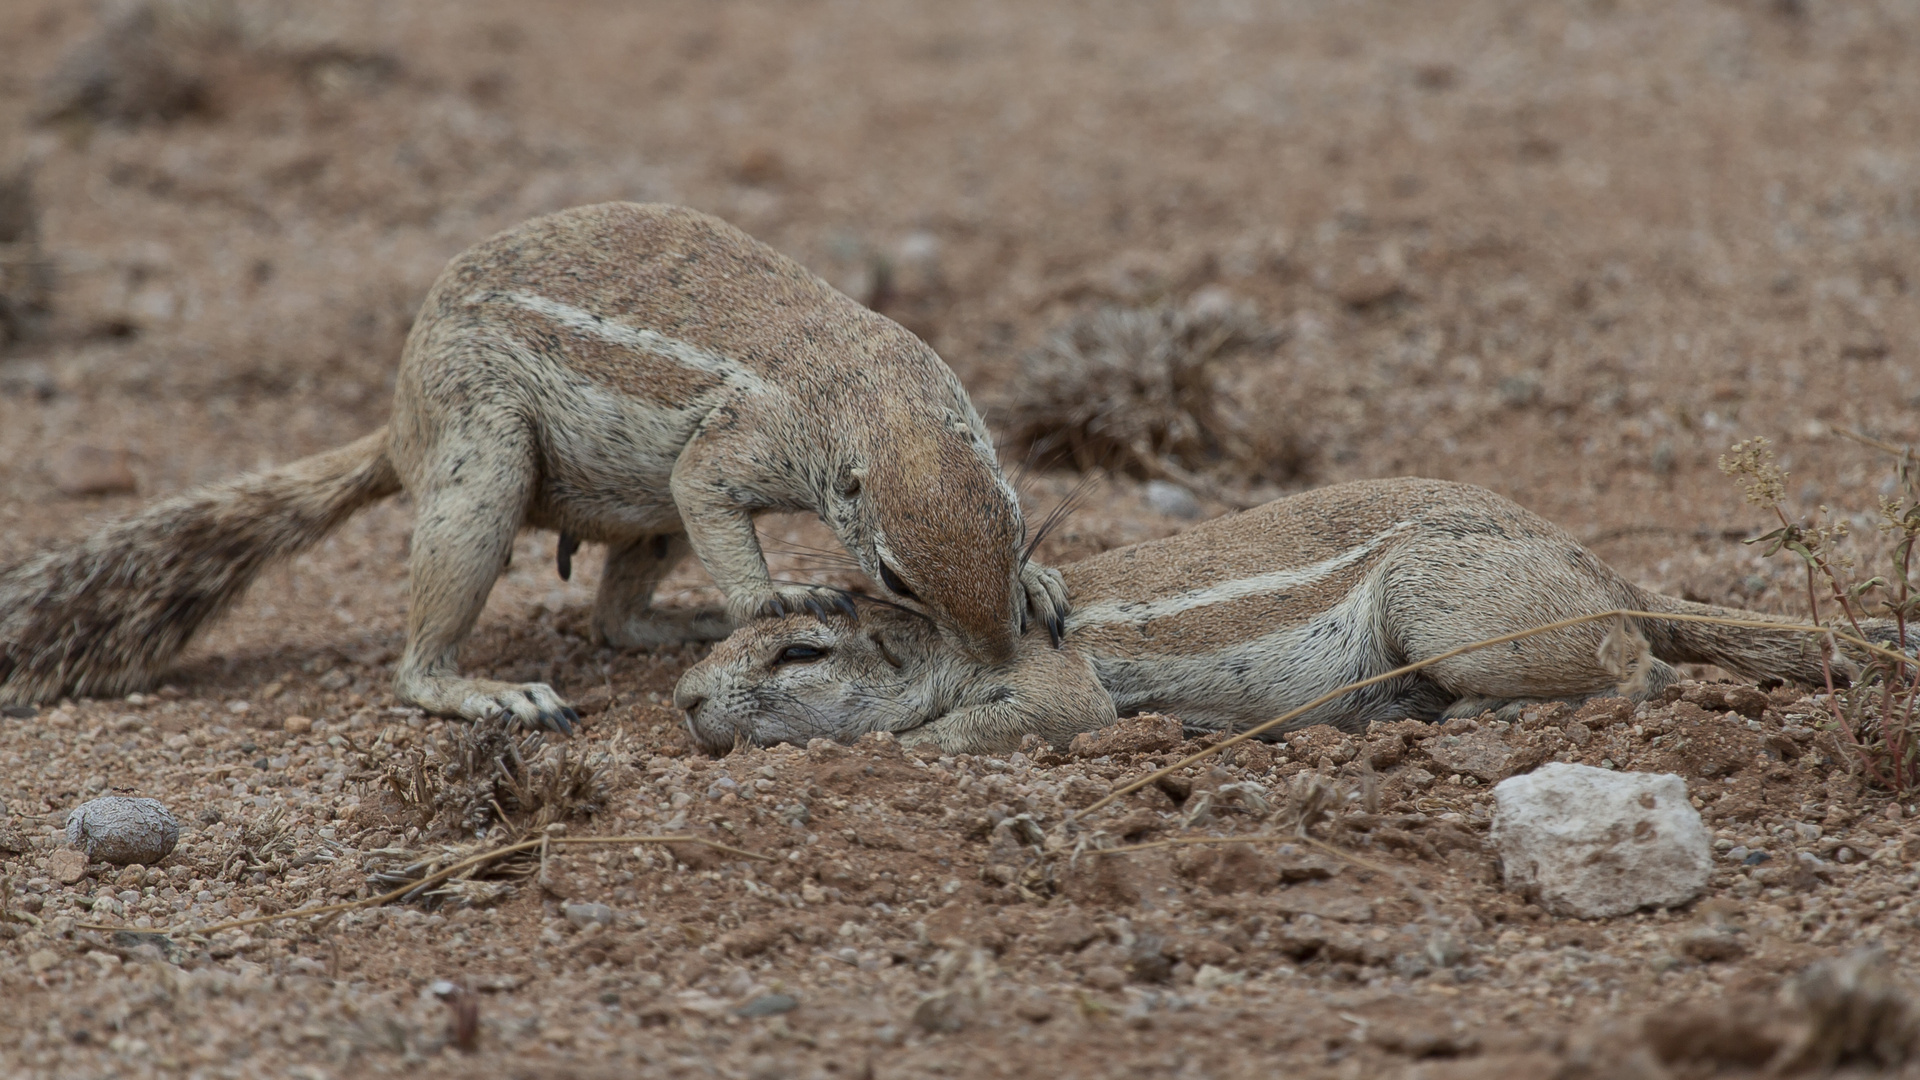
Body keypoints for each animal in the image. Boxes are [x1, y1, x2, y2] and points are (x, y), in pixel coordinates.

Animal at [0, 199, 1067, 722]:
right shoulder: (737, 448)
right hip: (483, 458)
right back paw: (493, 694)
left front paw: (1045, 584)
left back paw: (675, 624)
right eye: (895, 577)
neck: (879, 400)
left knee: (612, 618)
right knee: (417, 667)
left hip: (636, 517)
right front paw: (779, 597)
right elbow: (711, 495)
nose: (998, 657)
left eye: (1013, 523)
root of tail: (399, 426)